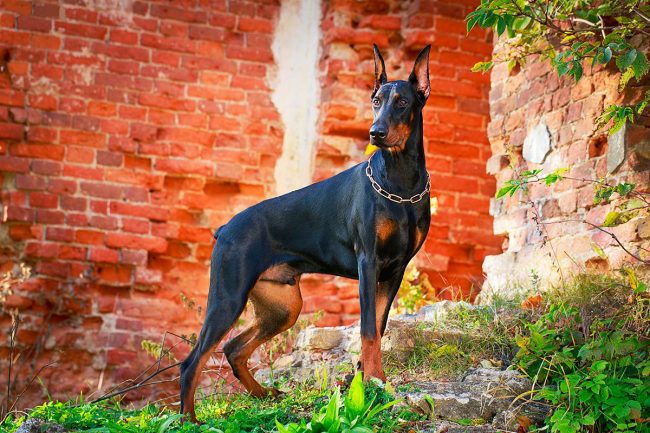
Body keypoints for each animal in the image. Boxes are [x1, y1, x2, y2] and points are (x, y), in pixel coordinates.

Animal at [178, 43, 430, 418]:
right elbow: (369, 330)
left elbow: (379, 327)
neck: (399, 184)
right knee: (192, 363)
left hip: (283, 306)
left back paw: (264, 394)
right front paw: (376, 383)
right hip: (229, 296)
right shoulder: (368, 263)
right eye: (375, 100)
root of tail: (224, 228)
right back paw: (189, 419)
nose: (375, 132)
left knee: (234, 348)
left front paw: (365, 380)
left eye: (401, 102)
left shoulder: (395, 271)